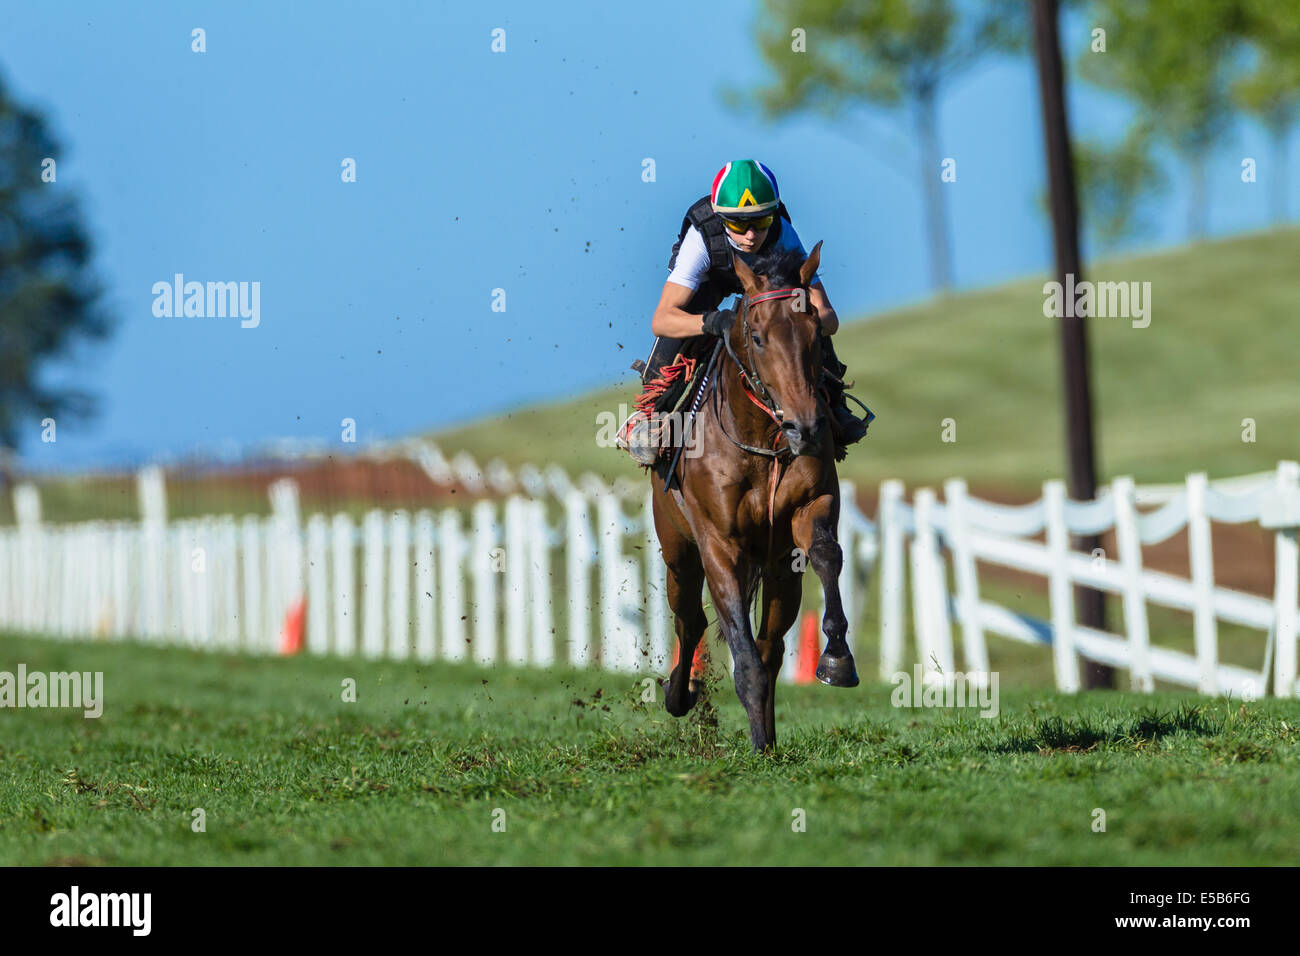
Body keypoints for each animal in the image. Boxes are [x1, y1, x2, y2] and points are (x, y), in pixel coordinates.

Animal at [652, 240, 859, 753]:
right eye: (759, 337)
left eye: (815, 334)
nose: (806, 427)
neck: (760, 438)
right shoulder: (718, 544)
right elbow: (737, 648)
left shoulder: (811, 508)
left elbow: (826, 553)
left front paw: (837, 659)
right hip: (677, 549)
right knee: (690, 621)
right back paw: (679, 695)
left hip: (779, 567)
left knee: (770, 646)